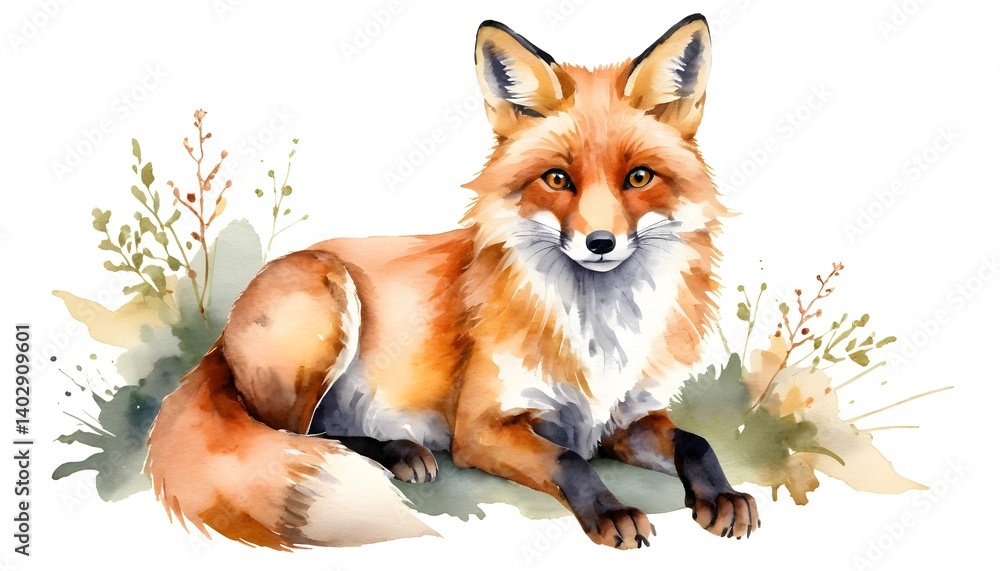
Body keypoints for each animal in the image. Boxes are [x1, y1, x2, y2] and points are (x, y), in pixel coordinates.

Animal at [144, 14, 760, 551]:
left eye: (639, 178)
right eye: (557, 179)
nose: (600, 243)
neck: (598, 332)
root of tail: (222, 336)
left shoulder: (626, 419)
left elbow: (695, 442)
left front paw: (722, 496)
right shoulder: (481, 429)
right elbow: (568, 459)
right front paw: (610, 512)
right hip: (326, 303)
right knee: (296, 436)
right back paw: (397, 451)